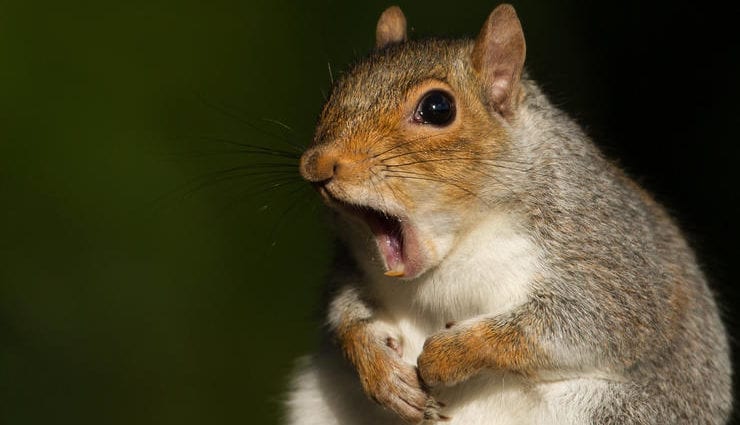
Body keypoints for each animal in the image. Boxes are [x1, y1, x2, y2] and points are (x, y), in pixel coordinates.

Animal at [282, 4, 728, 424]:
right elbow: (346, 313)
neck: (455, 249)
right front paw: (380, 371)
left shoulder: (607, 258)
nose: (316, 165)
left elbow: (581, 325)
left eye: (438, 107)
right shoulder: (352, 264)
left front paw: (448, 354)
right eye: (335, 90)